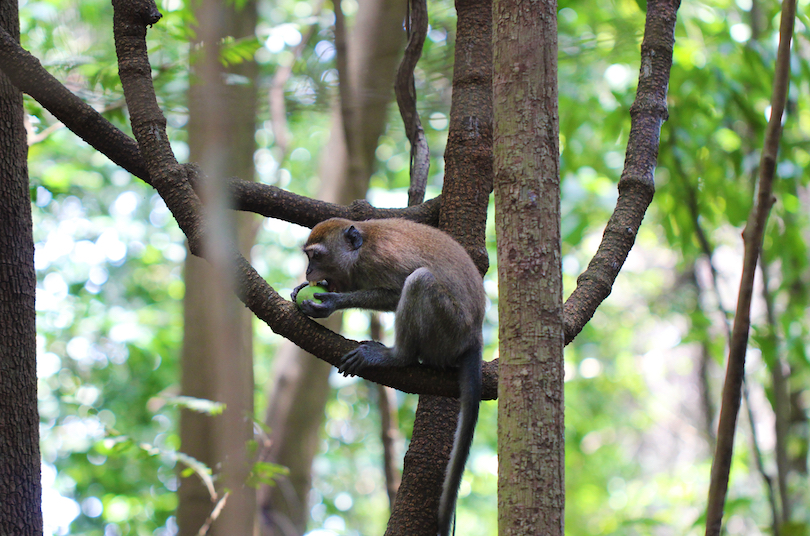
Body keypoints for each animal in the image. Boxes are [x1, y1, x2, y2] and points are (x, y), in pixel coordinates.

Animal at [288, 217, 480, 536]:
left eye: (316, 256)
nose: (308, 272)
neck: (361, 250)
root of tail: (474, 338)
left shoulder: (381, 260)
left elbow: (396, 291)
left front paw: (331, 302)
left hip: (449, 330)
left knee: (419, 281)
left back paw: (396, 356)